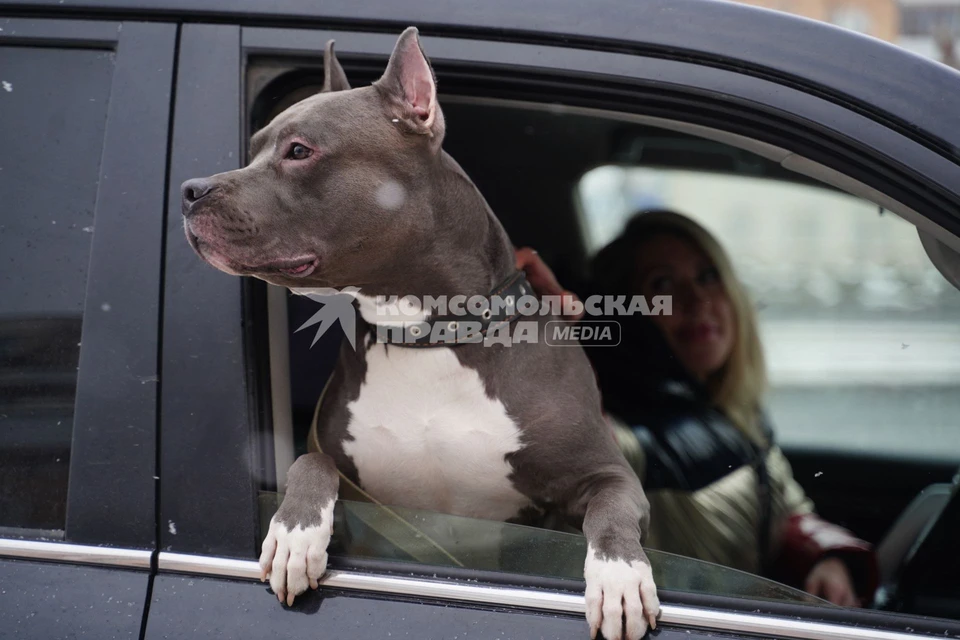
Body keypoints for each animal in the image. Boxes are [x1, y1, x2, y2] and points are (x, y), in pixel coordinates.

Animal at [181, 26, 660, 640]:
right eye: (257, 145)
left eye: (299, 151)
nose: (191, 190)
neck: (426, 336)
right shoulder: (337, 461)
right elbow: (309, 465)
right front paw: (293, 535)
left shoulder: (605, 473)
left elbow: (612, 510)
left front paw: (620, 576)